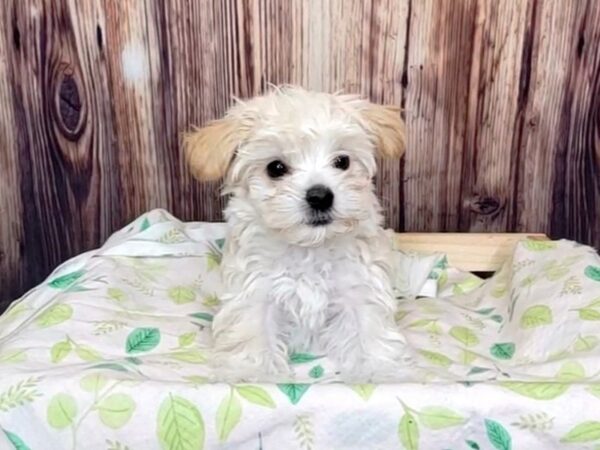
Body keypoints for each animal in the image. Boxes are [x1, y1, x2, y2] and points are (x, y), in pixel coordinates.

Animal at [185, 86, 410, 382]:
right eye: (276, 168)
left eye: (342, 161)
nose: (320, 196)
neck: (308, 249)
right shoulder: (255, 292)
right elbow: (252, 331)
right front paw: (254, 372)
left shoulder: (360, 288)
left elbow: (368, 329)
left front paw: (378, 370)